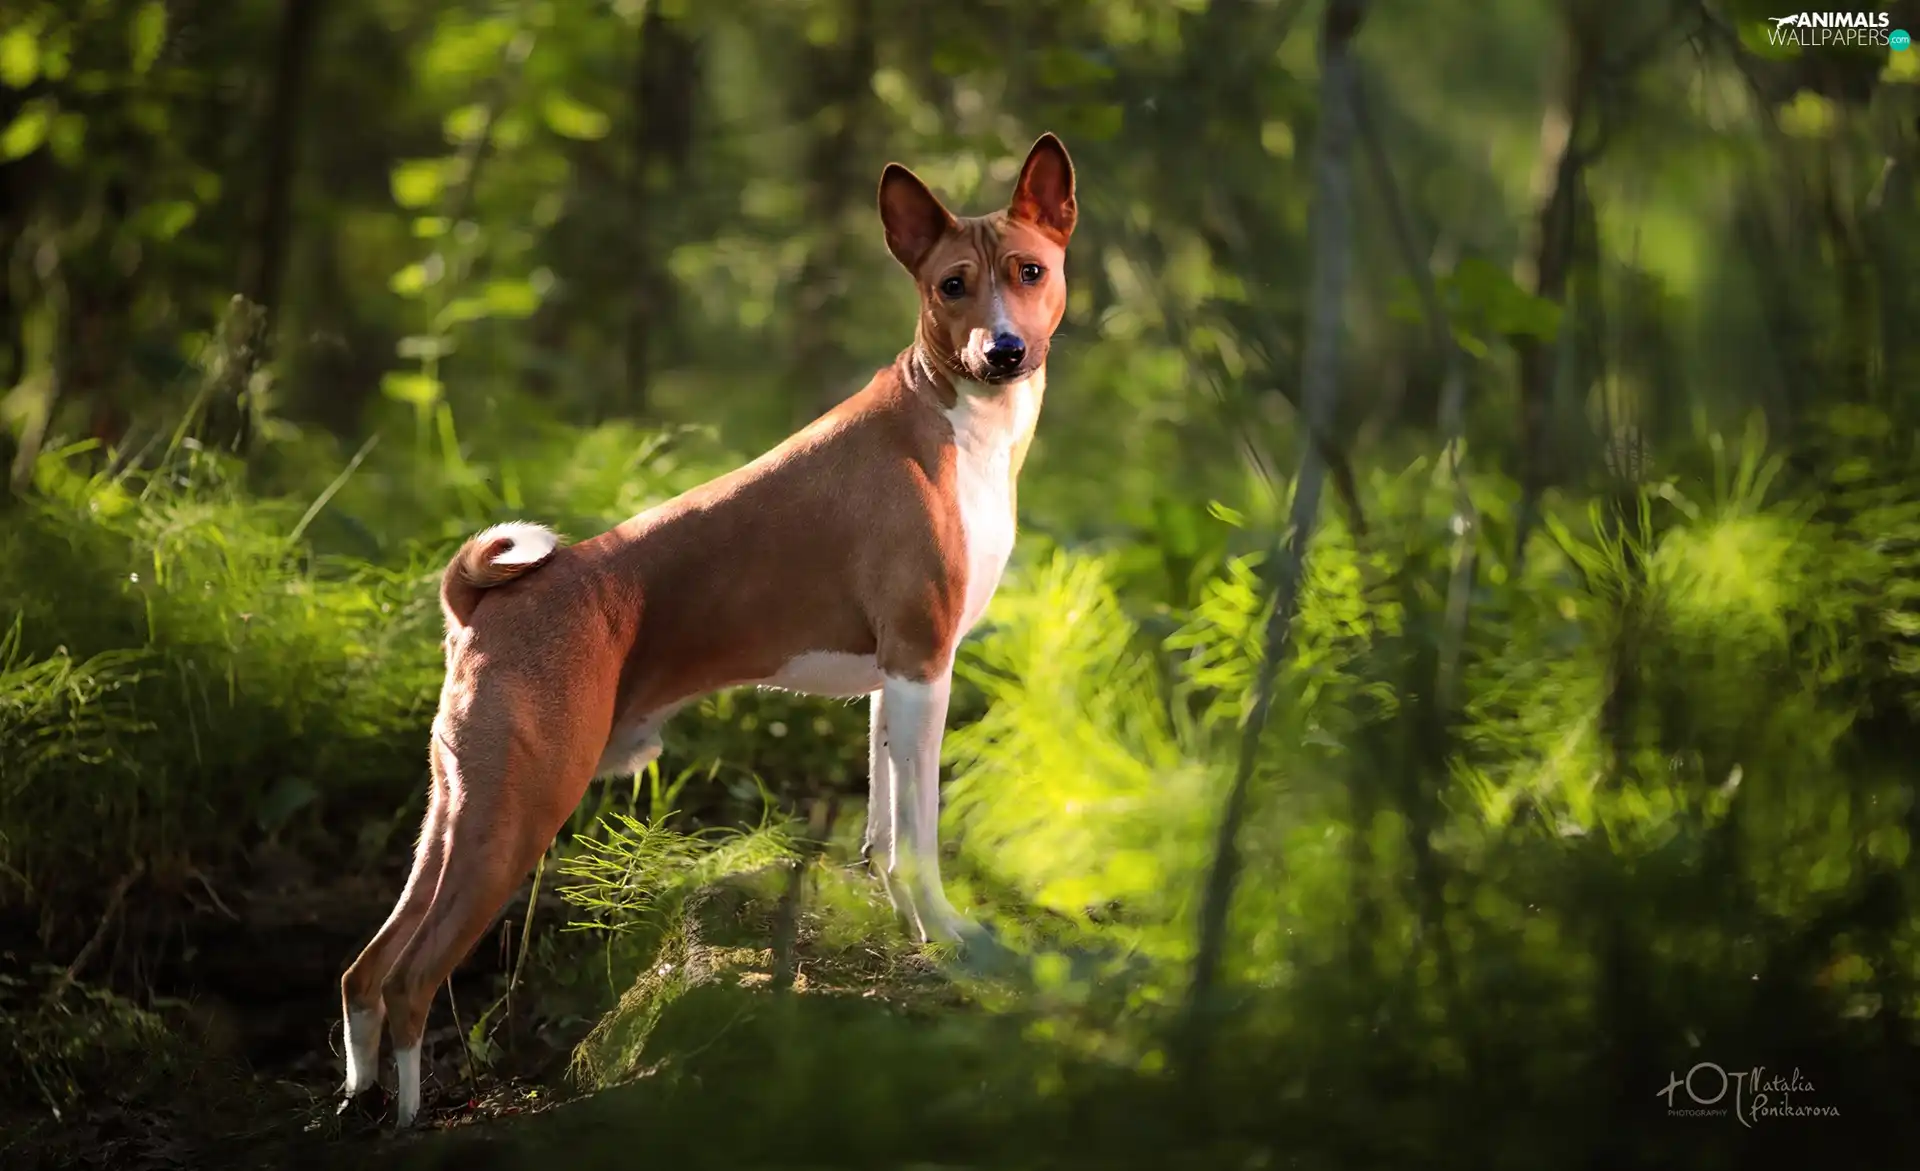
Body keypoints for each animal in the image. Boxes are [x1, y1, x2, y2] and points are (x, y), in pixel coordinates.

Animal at [336, 134, 1075, 1121]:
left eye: (1029, 271)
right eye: (953, 284)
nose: (1003, 348)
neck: (956, 426)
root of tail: (481, 602)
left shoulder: (898, 678)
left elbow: (883, 834)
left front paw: (908, 932)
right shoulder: (924, 665)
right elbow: (919, 835)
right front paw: (949, 934)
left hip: (453, 810)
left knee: (364, 971)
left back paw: (357, 1097)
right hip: (519, 812)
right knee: (413, 977)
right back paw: (410, 1116)